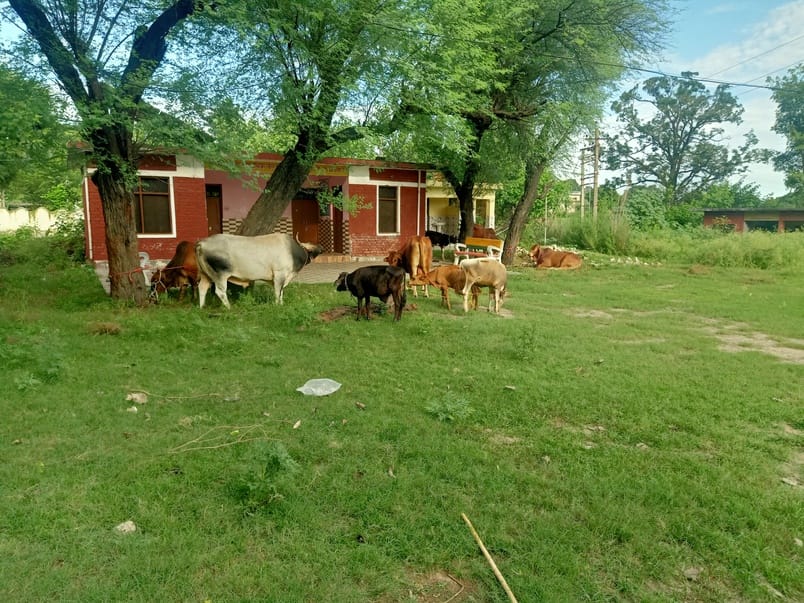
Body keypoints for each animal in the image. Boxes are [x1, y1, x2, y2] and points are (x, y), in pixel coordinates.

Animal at [194, 233, 323, 308]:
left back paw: (201, 307)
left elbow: (281, 293)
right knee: (220, 292)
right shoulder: (279, 275)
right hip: (220, 275)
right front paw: (278, 306)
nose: (321, 248)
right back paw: (229, 308)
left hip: (205, 275)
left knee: (202, 288)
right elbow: (278, 292)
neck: (291, 250)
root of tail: (202, 243)